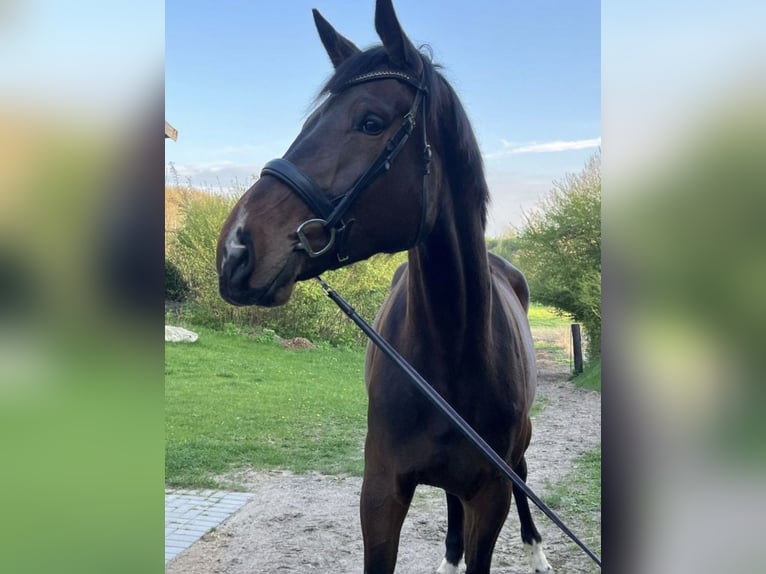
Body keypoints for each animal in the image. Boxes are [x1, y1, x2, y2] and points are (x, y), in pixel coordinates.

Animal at [216, 1, 551, 572]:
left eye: (370, 123)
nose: (235, 249)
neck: (449, 351)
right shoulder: (380, 494)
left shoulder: (491, 495)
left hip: (516, 454)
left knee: (524, 479)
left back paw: (536, 551)